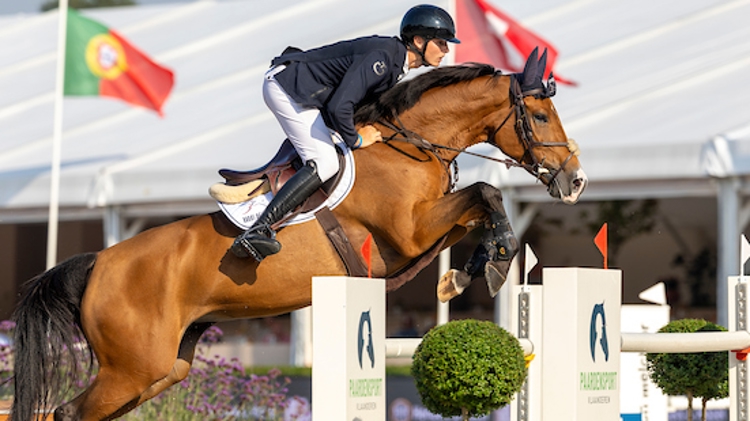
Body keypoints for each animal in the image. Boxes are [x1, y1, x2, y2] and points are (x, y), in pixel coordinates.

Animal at [10, 47, 588, 418]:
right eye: (540, 116)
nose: (575, 180)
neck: (412, 145)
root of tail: (98, 263)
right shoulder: (411, 231)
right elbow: (484, 195)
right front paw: (491, 263)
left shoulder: (426, 232)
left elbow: (478, 208)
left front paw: (472, 271)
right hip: (130, 370)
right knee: (67, 414)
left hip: (160, 370)